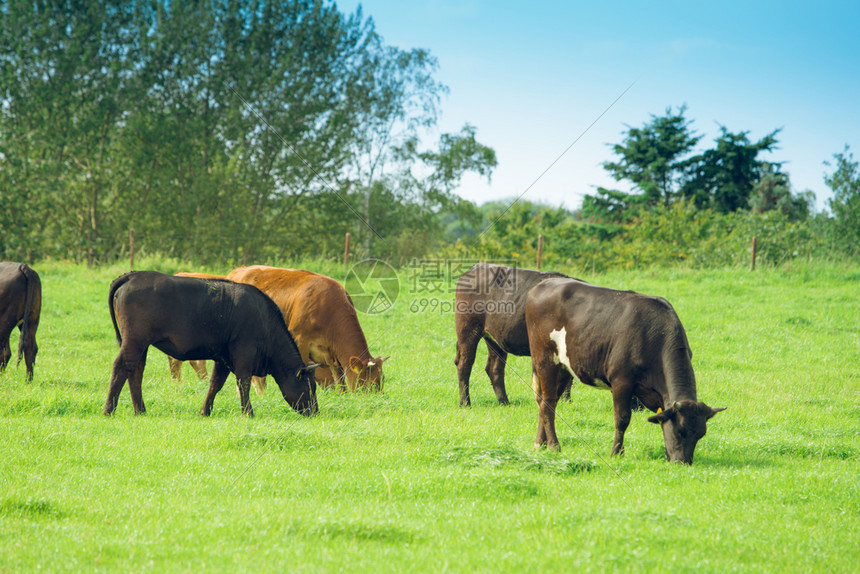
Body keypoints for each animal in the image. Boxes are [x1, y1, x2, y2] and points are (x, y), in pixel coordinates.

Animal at [104, 272, 320, 420]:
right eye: (309, 386)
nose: (315, 412)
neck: (264, 321)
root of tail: (134, 275)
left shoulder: (223, 358)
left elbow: (216, 383)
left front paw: (204, 411)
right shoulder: (244, 354)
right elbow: (243, 383)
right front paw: (248, 413)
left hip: (140, 345)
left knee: (135, 371)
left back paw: (140, 410)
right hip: (135, 341)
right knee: (121, 367)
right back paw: (109, 410)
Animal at [228, 264, 390, 392]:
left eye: (382, 381)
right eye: (371, 384)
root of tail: (239, 270)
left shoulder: (331, 356)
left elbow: (339, 383)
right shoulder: (300, 342)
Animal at [454, 264, 568, 408]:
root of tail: (477, 267)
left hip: (494, 339)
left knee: (495, 368)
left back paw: (504, 401)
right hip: (468, 331)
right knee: (465, 364)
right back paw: (465, 403)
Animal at [524, 280, 724, 468]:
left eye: (700, 434)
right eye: (679, 431)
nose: (683, 462)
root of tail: (543, 285)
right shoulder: (621, 381)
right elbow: (622, 418)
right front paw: (616, 453)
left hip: (564, 366)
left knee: (548, 402)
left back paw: (540, 444)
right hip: (544, 359)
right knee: (547, 402)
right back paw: (554, 446)